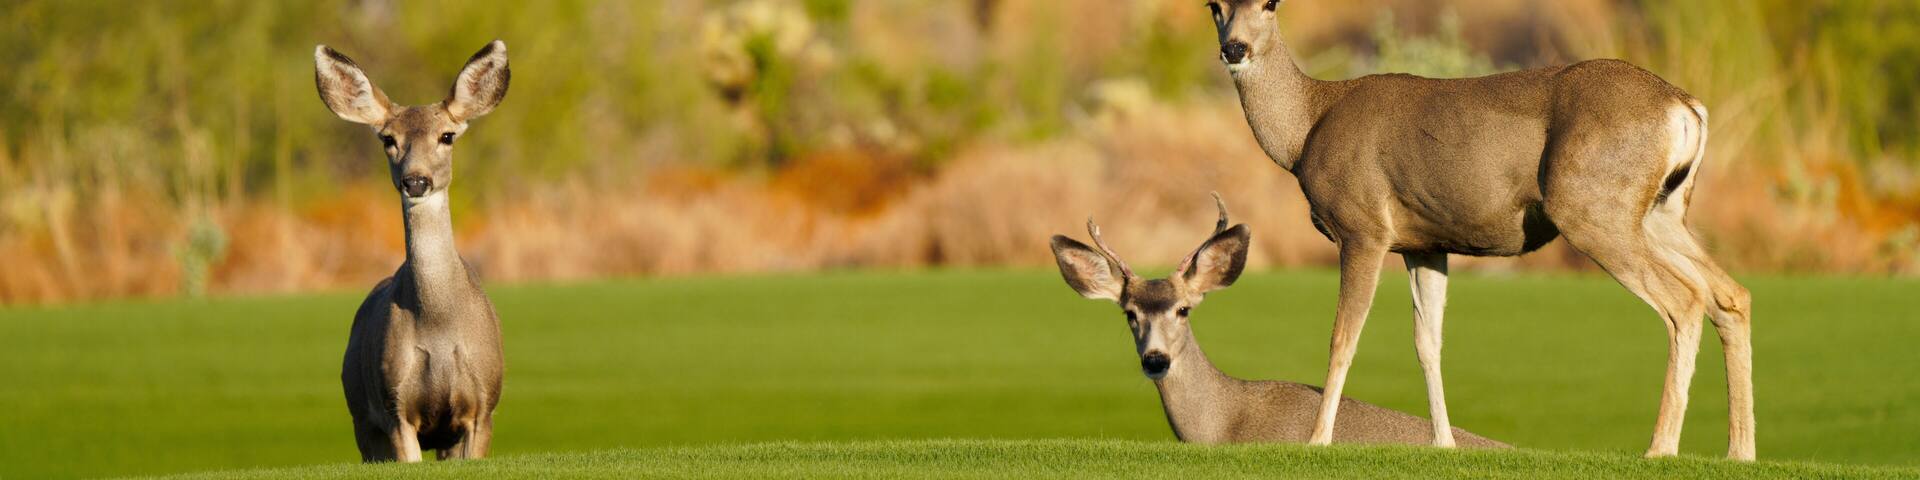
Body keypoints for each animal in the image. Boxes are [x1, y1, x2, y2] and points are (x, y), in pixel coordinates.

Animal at [314, 40, 510, 463]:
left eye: (447, 136)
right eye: (388, 139)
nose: (416, 180)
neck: (437, 322)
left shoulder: (483, 407)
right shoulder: (395, 410)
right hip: (363, 423)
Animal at [1202, 0, 1754, 460]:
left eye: (1271, 2)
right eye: (1214, 4)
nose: (1235, 48)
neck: (1308, 127)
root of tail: (1686, 106)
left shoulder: (1363, 229)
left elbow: (1344, 337)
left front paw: (1317, 440)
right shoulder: (1425, 244)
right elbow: (1428, 343)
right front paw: (1444, 444)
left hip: (1593, 207)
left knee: (1685, 300)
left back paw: (1661, 448)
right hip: (1661, 212)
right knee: (1730, 294)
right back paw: (1739, 451)